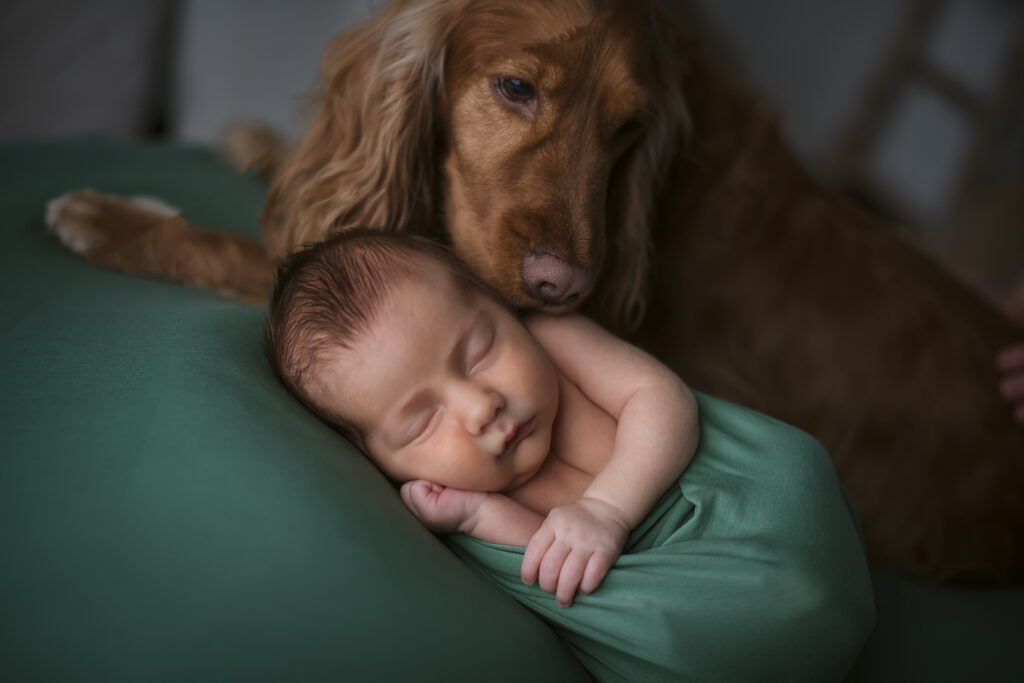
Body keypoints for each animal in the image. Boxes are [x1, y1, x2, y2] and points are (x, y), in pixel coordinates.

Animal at [44, 0, 1019, 581]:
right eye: (515, 88)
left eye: (627, 129)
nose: (564, 287)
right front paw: (266, 149)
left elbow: (277, 257)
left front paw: (118, 220)